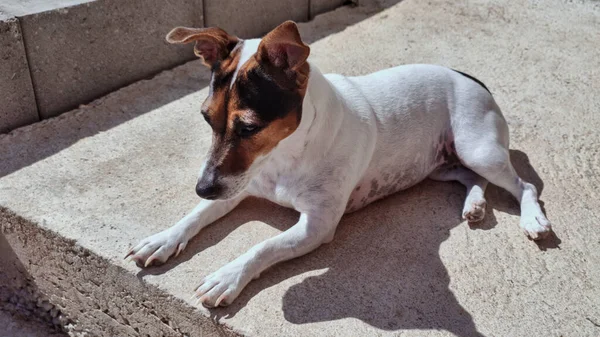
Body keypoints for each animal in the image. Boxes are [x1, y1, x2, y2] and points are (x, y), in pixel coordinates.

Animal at [125, 19, 552, 306]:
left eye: (248, 128)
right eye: (205, 118)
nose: (203, 187)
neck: (283, 154)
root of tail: (468, 76)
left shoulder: (317, 225)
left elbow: (263, 246)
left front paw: (227, 275)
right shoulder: (236, 183)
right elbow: (194, 215)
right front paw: (163, 238)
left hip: (478, 148)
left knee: (524, 185)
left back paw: (533, 219)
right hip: (443, 163)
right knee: (469, 177)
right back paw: (475, 204)